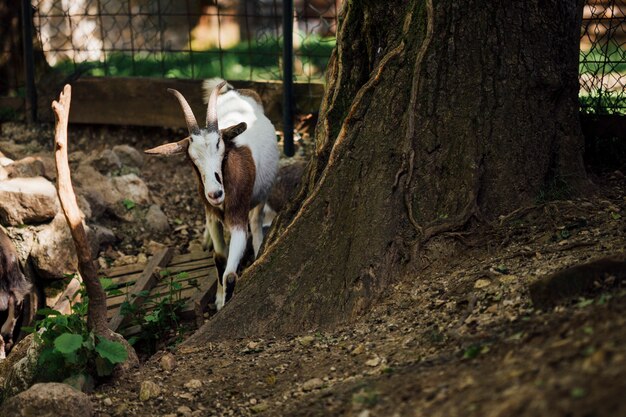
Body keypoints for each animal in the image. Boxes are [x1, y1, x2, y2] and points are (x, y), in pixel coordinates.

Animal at [145, 80, 276, 308]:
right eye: (191, 156)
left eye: (219, 145)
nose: (215, 193)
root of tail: (235, 90)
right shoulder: (214, 216)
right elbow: (220, 258)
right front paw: (219, 297)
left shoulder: (237, 218)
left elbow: (230, 274)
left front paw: (223, 304)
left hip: (262, 192)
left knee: (256, 217)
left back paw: (259, 245)